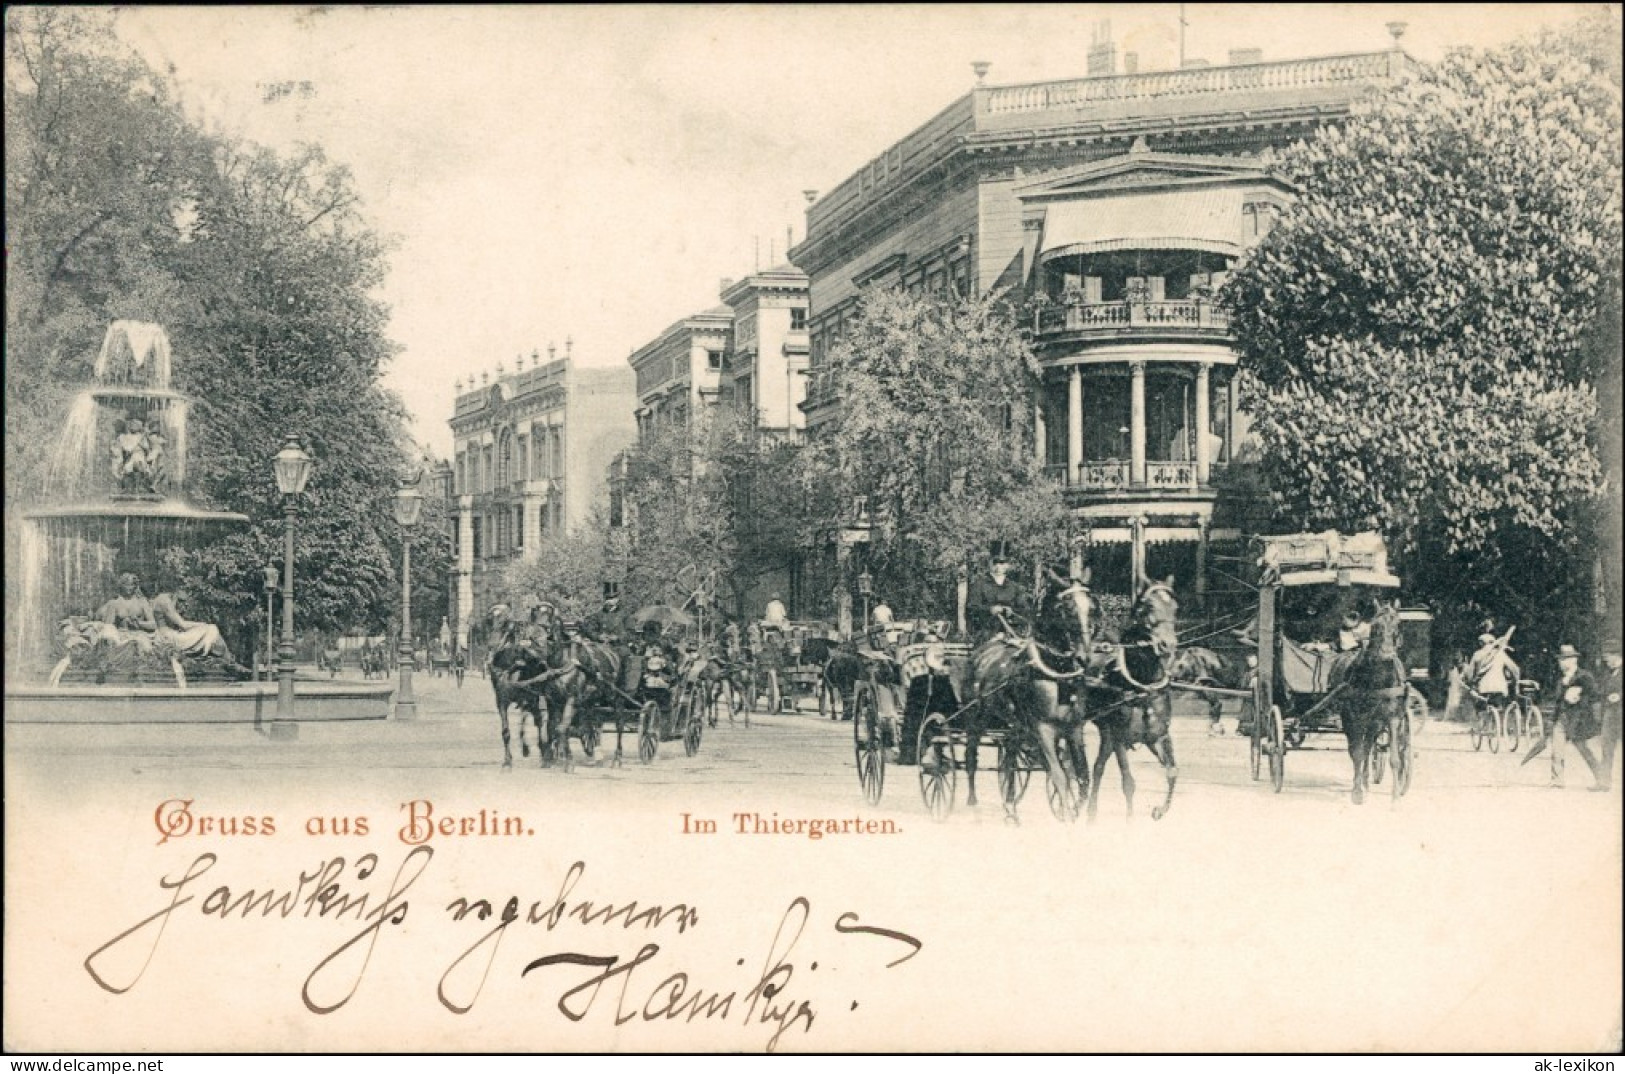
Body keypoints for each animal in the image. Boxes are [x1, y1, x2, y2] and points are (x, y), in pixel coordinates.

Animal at [962, 568, 1105, 822]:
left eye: (1092, 607)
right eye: (1068, 608)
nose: (1084, 658)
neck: (1057, 674)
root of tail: (981, 653)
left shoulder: (1074, 728)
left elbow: (1082, 776)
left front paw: (1076, 810)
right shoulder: (1043, 729)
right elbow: (1059, 775)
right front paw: (1068, 818)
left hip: (1014, 728)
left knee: (1009, 761)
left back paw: (1011, 808)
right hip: (975, 719)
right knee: (971, 757)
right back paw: (973, 802)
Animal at [1092, 578, 1183, 822]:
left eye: (1175, 608)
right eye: (1148, 606)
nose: (1168, 645)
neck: (1142, 688)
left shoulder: (1158, 736)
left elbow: (1172, 772)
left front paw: (1159, 810)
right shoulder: (1119, 737)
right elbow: (1128, 783)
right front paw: (1130, 823)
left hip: (1106, 731)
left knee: (1097, 767)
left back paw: (1090, 814)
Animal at [1339, 597, 1404, 799]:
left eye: (1398, 623)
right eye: (1376, 625)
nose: (1387, 654)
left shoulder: (1392, 718)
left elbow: (1394, 758)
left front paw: (1395, 796)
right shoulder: (1357, 717)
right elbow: (1357, 752)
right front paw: (1357, 793)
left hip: (1374, 722)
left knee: (1368, 746)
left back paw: (1366, 782)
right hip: (1349, 718)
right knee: (1355, 749)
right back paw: (1358, 783)